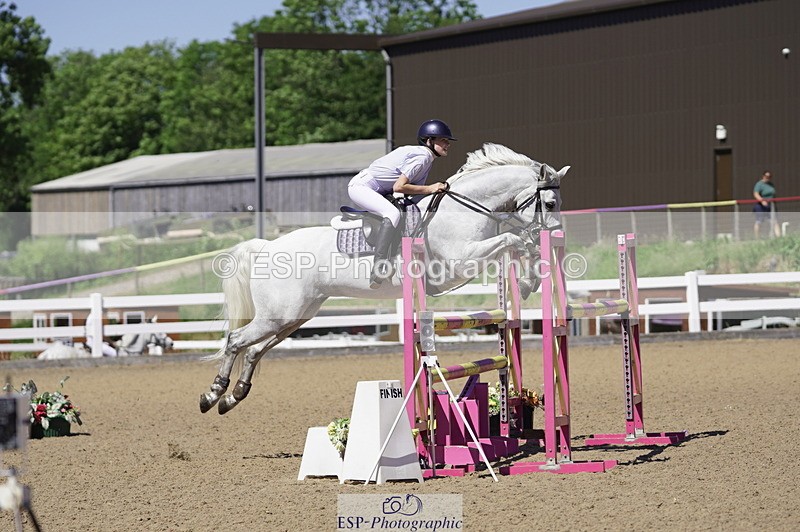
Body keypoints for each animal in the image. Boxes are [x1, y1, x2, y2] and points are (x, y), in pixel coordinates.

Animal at [199, 143, 569, 414]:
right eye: (550, 202)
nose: (554, 233)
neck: (466, 208)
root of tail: (268, 246)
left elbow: (518, 242)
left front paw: (529, 279)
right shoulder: (461, 260)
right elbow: (513, 239)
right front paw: (526, 279)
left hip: (295, 317)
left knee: (253, 350)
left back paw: (232, 397)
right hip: (279, 315)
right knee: (236, 340)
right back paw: (213, 394)